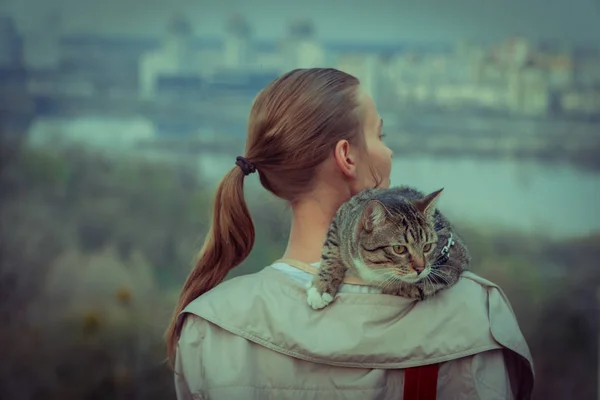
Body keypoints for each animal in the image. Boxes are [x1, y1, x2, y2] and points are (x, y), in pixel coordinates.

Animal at [308, 186, 472, 310]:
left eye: (427, 247)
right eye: (399, 248)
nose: (420, 268)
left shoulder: (450, 262)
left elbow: (407, 285)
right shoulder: (340, 218)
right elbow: (330, 252)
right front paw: (321, 288)